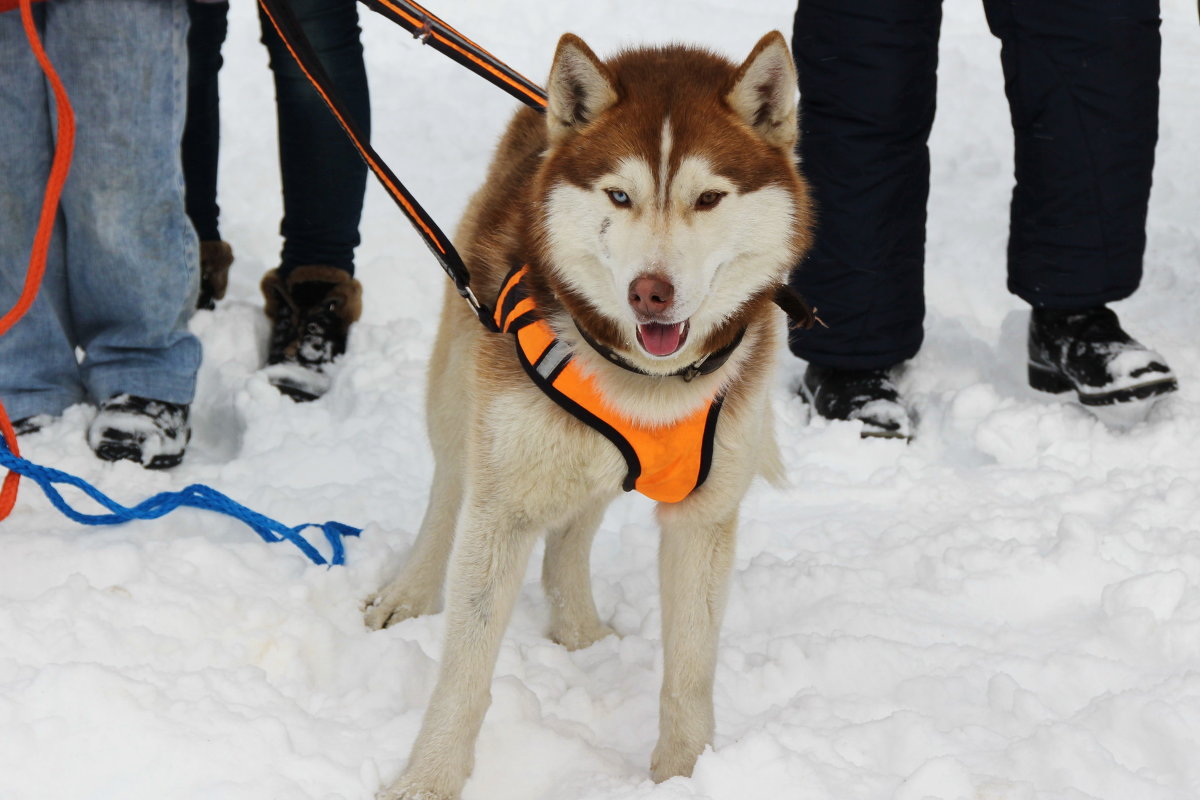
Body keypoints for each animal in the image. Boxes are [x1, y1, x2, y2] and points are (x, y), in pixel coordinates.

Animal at [364, 31, 816, 800]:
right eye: (619, 195)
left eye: (707, 198)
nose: (650, 292)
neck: (645, 382)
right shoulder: (504, 503)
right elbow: (464, 673)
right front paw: (427, 779)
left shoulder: (704, 516)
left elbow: (689, 672)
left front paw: (685, 772)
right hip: (463, 393)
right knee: (449, 485)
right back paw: (412, 590)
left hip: (589, 458)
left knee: (571, 536)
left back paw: (578, 630)